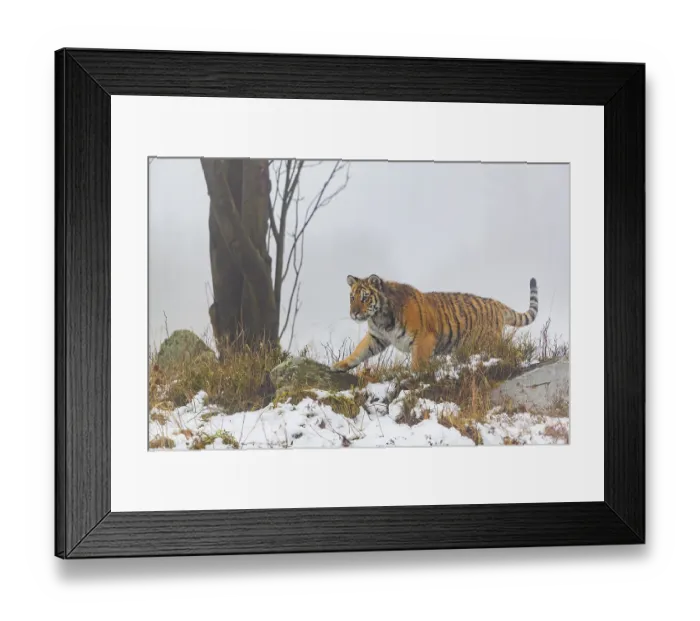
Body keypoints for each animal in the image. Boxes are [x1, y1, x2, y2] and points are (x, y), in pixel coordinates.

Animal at [331, 273, 539, 373]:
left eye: (365, 298)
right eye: (352, 298)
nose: (354, 313)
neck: (380, 318)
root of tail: (495, 302)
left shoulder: (423, 338)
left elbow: (417, 363)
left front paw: (413, 378)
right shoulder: (376, 337)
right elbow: (359, 351)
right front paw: (340, 365)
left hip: (489, 341)